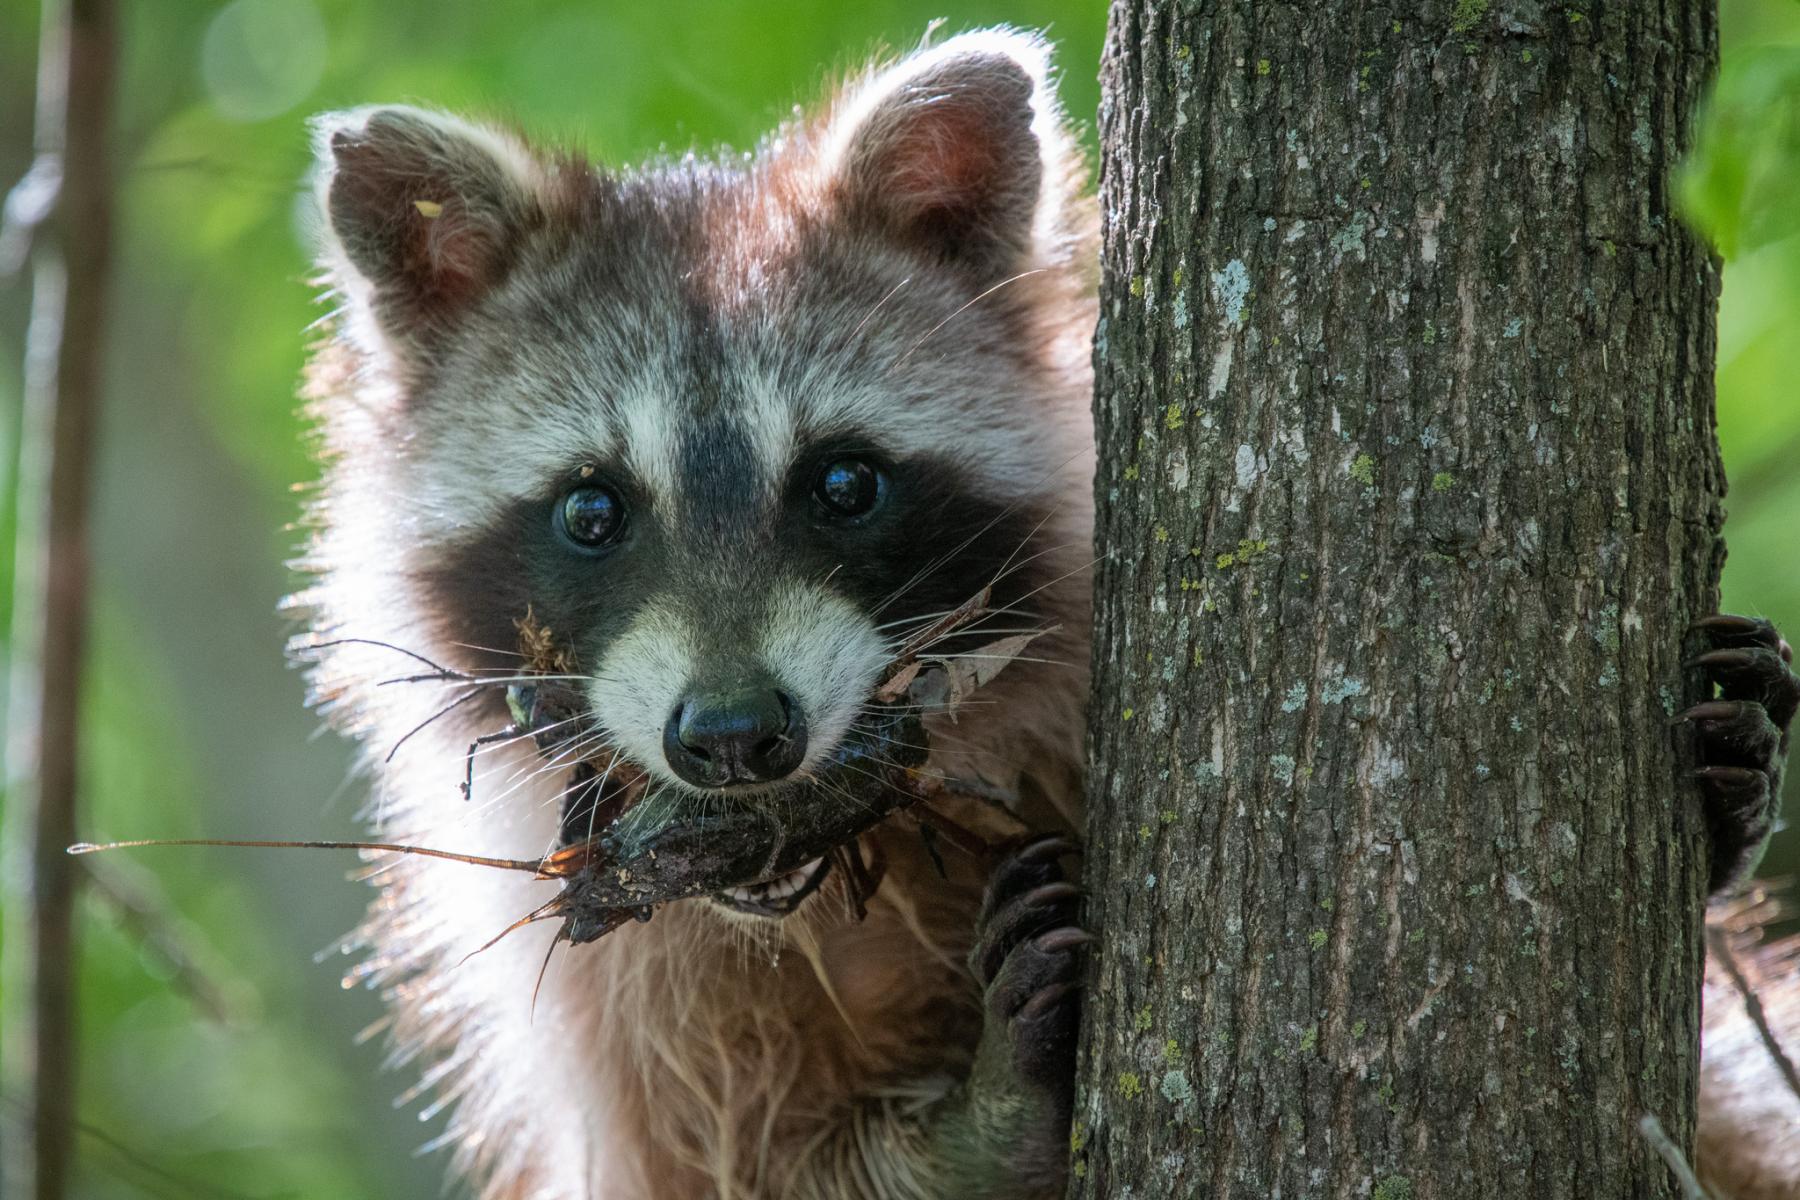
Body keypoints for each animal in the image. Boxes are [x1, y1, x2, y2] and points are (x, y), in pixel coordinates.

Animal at [293, 27, 1800, 1200]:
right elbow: (732, 1160)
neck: (832, 859)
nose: (732, 738)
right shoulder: (612, 1007)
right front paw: (975, 1133)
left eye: (843, 482)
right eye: (593, 510)